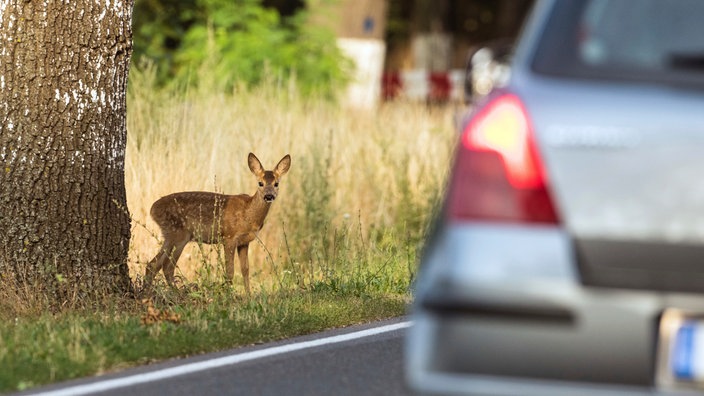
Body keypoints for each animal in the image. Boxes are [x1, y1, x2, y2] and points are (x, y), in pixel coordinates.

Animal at [144, 152, 292, 294]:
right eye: (260, 183)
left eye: (276, 183)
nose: (269, 196)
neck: (248, 214)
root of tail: (153, 209)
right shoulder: (229, 237)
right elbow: (230, 271)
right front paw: (229, 295)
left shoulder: (244, 242)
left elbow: (245, 270)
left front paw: (249, 297)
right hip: (179, 235)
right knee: (167, 266)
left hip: (170, 236)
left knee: (154, 265)